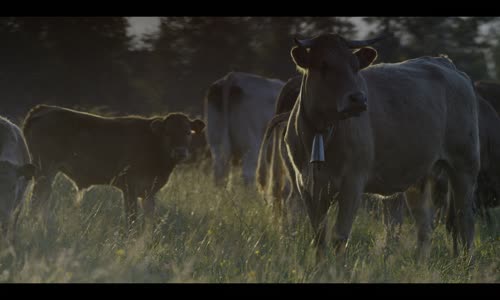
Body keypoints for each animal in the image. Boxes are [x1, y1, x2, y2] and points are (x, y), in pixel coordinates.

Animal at [23, 104, 205, 231]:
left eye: (188, 132)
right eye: (167, 133)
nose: (180, 152)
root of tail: (44, 109)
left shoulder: (149, 192)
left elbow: (149, 219)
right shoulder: (130, 188)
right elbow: (131, 218)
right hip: (45, 170)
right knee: (37, 198)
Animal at [282, 33, 480, 262]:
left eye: (355, 66)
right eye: (324, 65)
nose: (358, 99)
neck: (321, 132)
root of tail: (445, 63)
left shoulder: (353, 182)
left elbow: (340, 236)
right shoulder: (307, 185)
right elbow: (319, 236)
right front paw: (320, 265)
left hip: (464, 165)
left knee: (465, 218)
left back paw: (467, 263)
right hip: (418, 176)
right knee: (425, 226)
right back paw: (420, 263)